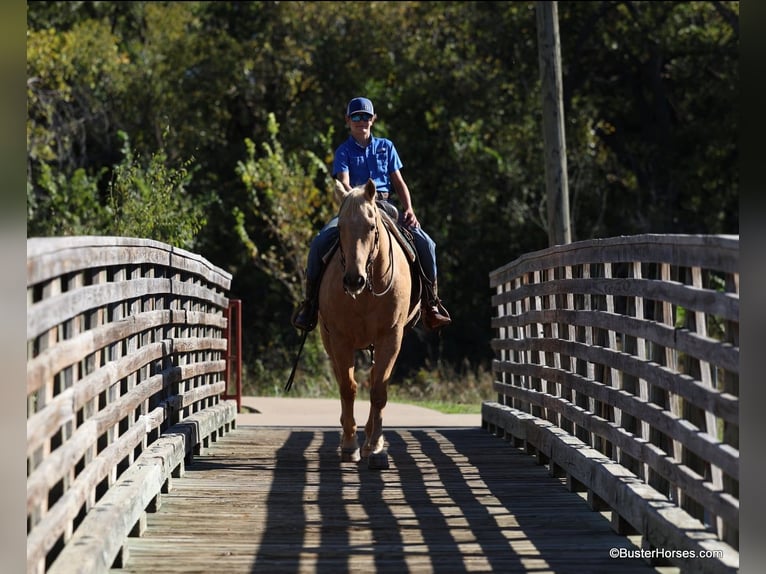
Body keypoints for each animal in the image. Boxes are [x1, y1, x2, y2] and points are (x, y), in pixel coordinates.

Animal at [318, 180, 420, 472]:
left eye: (372, 226)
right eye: (340, 228)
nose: (354, 280)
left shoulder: (391, 337)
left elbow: (378, 391)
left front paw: (375, 448)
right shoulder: (340, 339)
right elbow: (348, 388)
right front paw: (349, 445)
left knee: (375, 380)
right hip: (329, 341)